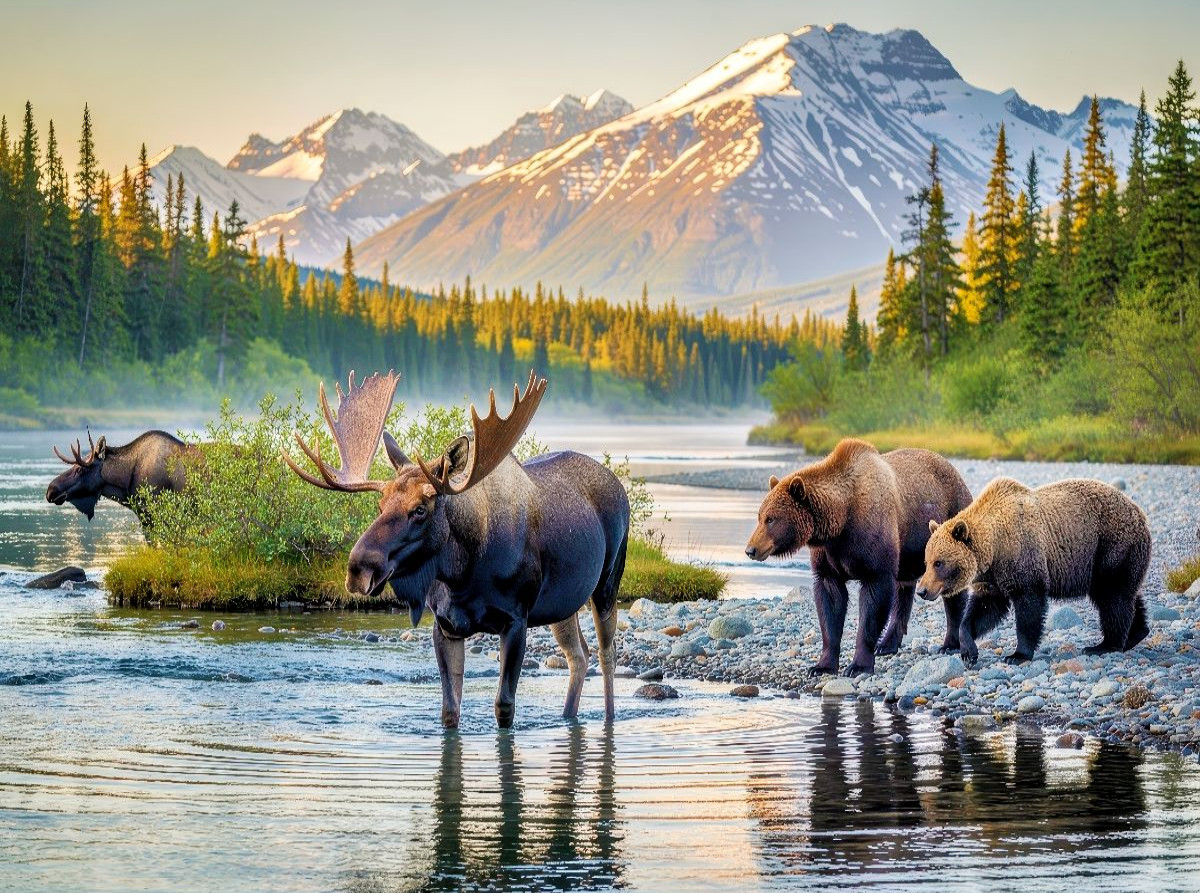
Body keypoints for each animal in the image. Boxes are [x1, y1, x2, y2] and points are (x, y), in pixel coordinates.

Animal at [745, 438, 972, 676]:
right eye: (760, 516)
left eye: (771, 519)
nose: (751, 549)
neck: (841, 520)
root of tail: (953, 469)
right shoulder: (829, 555)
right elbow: (829, 601)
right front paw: (822, 665)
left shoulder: (872, 544)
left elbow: (873, 601)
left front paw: (858, 665)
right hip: (907, 552)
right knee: (903, 589)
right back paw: (887, 644)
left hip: (949, 520)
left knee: (951, 587)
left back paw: (949, 643)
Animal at [916, 477, 1151, 667]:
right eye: (926, 562)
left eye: (939, 563)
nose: (922, 590)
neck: (995, 545)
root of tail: (1140, 512)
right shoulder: (993, 577)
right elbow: (983, 610)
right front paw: (968, 652)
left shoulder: (1022, 555)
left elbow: (1029, 606)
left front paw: (1017, 655)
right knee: (1125, 594)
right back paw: (1136, 633)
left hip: (1112, 546)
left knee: (1113, 596)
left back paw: (1105, 645)